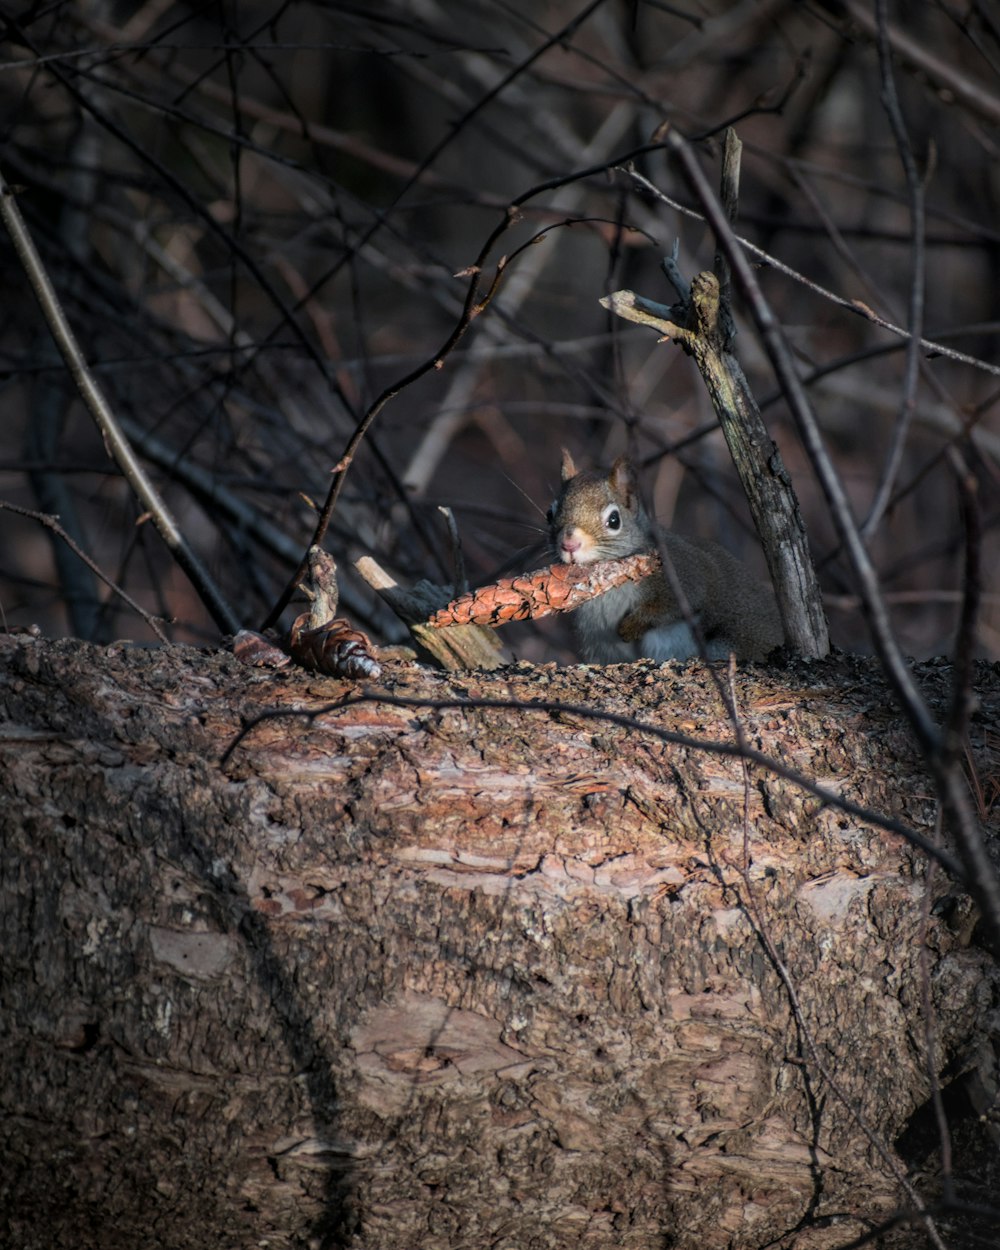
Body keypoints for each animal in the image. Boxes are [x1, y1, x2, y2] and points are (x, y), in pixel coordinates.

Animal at [550, 450, 785, 665]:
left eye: (614, 520)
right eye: (550, 513)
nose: (569, 544)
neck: (607, 589)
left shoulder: (684, 570)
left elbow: (676, 604)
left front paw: (630, 627)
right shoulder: (597, 642)